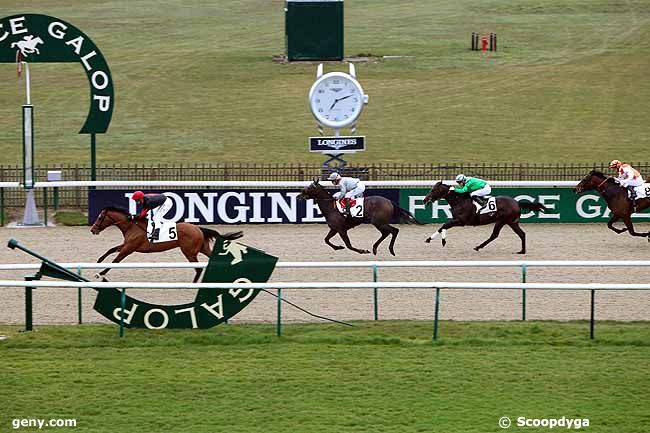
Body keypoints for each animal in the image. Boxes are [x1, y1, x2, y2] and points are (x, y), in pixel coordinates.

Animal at [89, 207, 243, 282]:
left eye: (100, 217)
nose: (93, 230)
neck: (132, 226)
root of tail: (198, 228)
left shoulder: (129, 248)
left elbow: (115, 261)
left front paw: (99, 273)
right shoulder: (127, 245)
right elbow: (111, 250)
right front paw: (98, 261)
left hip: (189, 252)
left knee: (198, 269)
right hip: (202, 248)